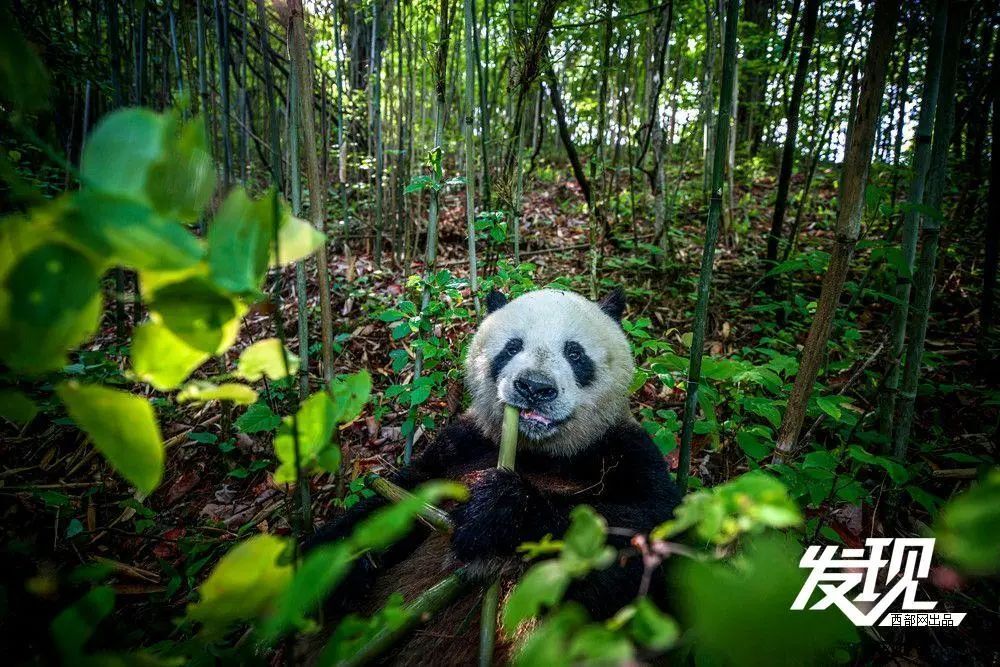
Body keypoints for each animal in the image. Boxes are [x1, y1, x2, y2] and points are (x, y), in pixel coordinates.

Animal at [304, 290, 680, 664]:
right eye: (512, 347)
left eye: (574, 352)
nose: (534, 387)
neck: (539, 452)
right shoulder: (464, 443)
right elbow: (402, 496)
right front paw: (337, 568)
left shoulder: (624, 448)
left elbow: (647, 530)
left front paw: (495, 511)